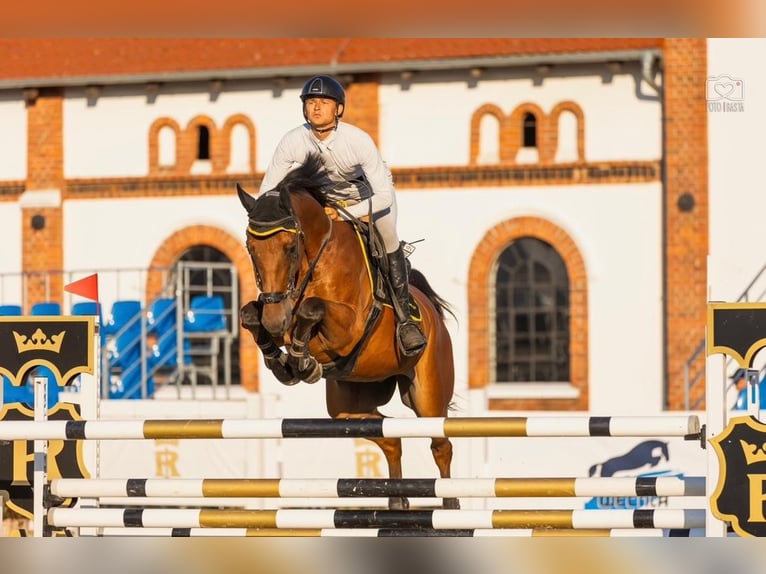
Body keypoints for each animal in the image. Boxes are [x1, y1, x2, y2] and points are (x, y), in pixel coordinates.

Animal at [237, 152, 460, 508]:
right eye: (250, 247)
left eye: (290, 246)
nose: (275, 320)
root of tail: (432, 315)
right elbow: (249, 315)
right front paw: (283, 362)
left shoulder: (348, 327)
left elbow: (312, 309)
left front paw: (301, 360)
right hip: (348, 405)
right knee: (389, 437)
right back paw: (397, 502)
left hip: (428, 395)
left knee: (441, 445)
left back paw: (450, 507)